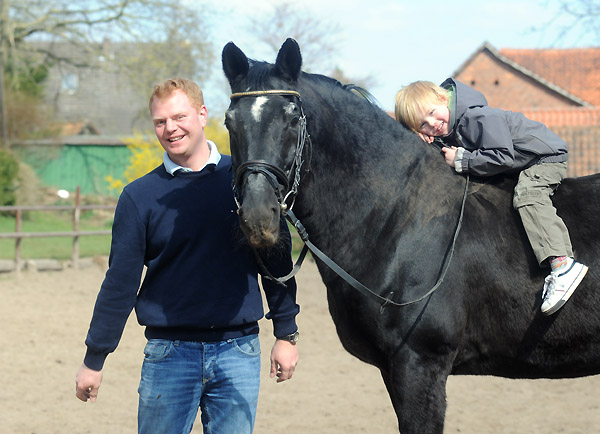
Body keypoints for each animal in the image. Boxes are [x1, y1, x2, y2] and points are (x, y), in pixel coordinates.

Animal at [221, 39, 600, 432]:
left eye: (293, 118)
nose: (258, 217)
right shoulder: (393, 370)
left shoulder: (419, 366)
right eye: (229, 122)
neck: (397, 219)